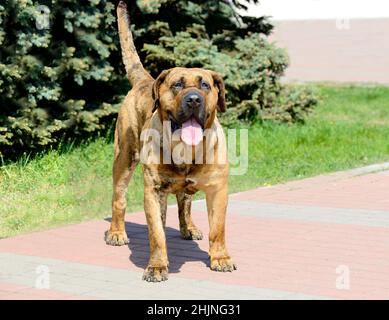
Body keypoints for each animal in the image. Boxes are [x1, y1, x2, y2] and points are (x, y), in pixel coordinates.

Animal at [104, 1, 235, 282]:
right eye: (177, 85)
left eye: (205, 86)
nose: (193, 99)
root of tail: (146, 80)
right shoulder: (153, 191)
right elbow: (156, 234)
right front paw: (156, 266)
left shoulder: (218, 189)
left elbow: (218, 229)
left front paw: (220, 258)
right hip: (124, 158)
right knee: (119, 198)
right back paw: (117, 232)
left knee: (185, 202)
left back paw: (190, 227)